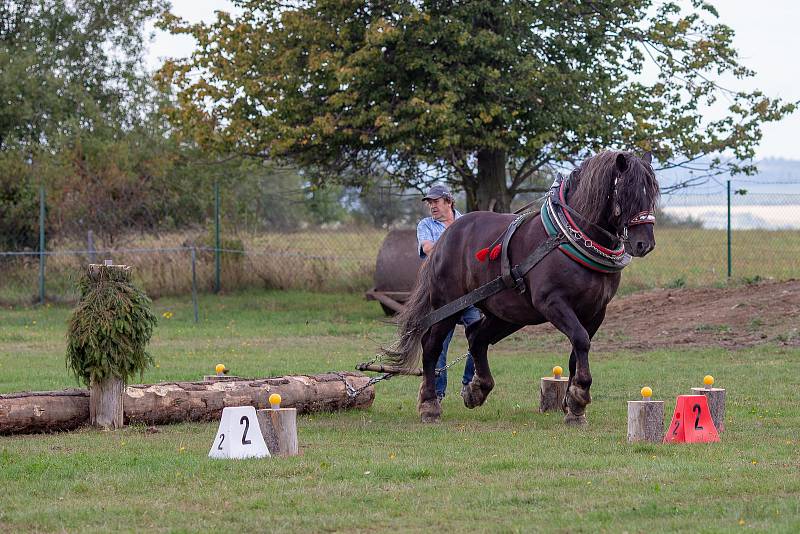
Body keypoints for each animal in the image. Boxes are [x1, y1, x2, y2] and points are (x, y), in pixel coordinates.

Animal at [384, 150, 660, 422]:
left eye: (651, 193)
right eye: (627, 192)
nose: (644, 244)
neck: (567, 237)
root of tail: (447, 235)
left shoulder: (595, 311)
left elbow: (576, 349)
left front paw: (572, 405)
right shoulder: (552, 302)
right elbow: (581, 340)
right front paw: (580, 393)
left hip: (507, 313)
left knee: (476, 338)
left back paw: (478, 389)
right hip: (449, 305)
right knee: (432, 346)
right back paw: (430, 405)